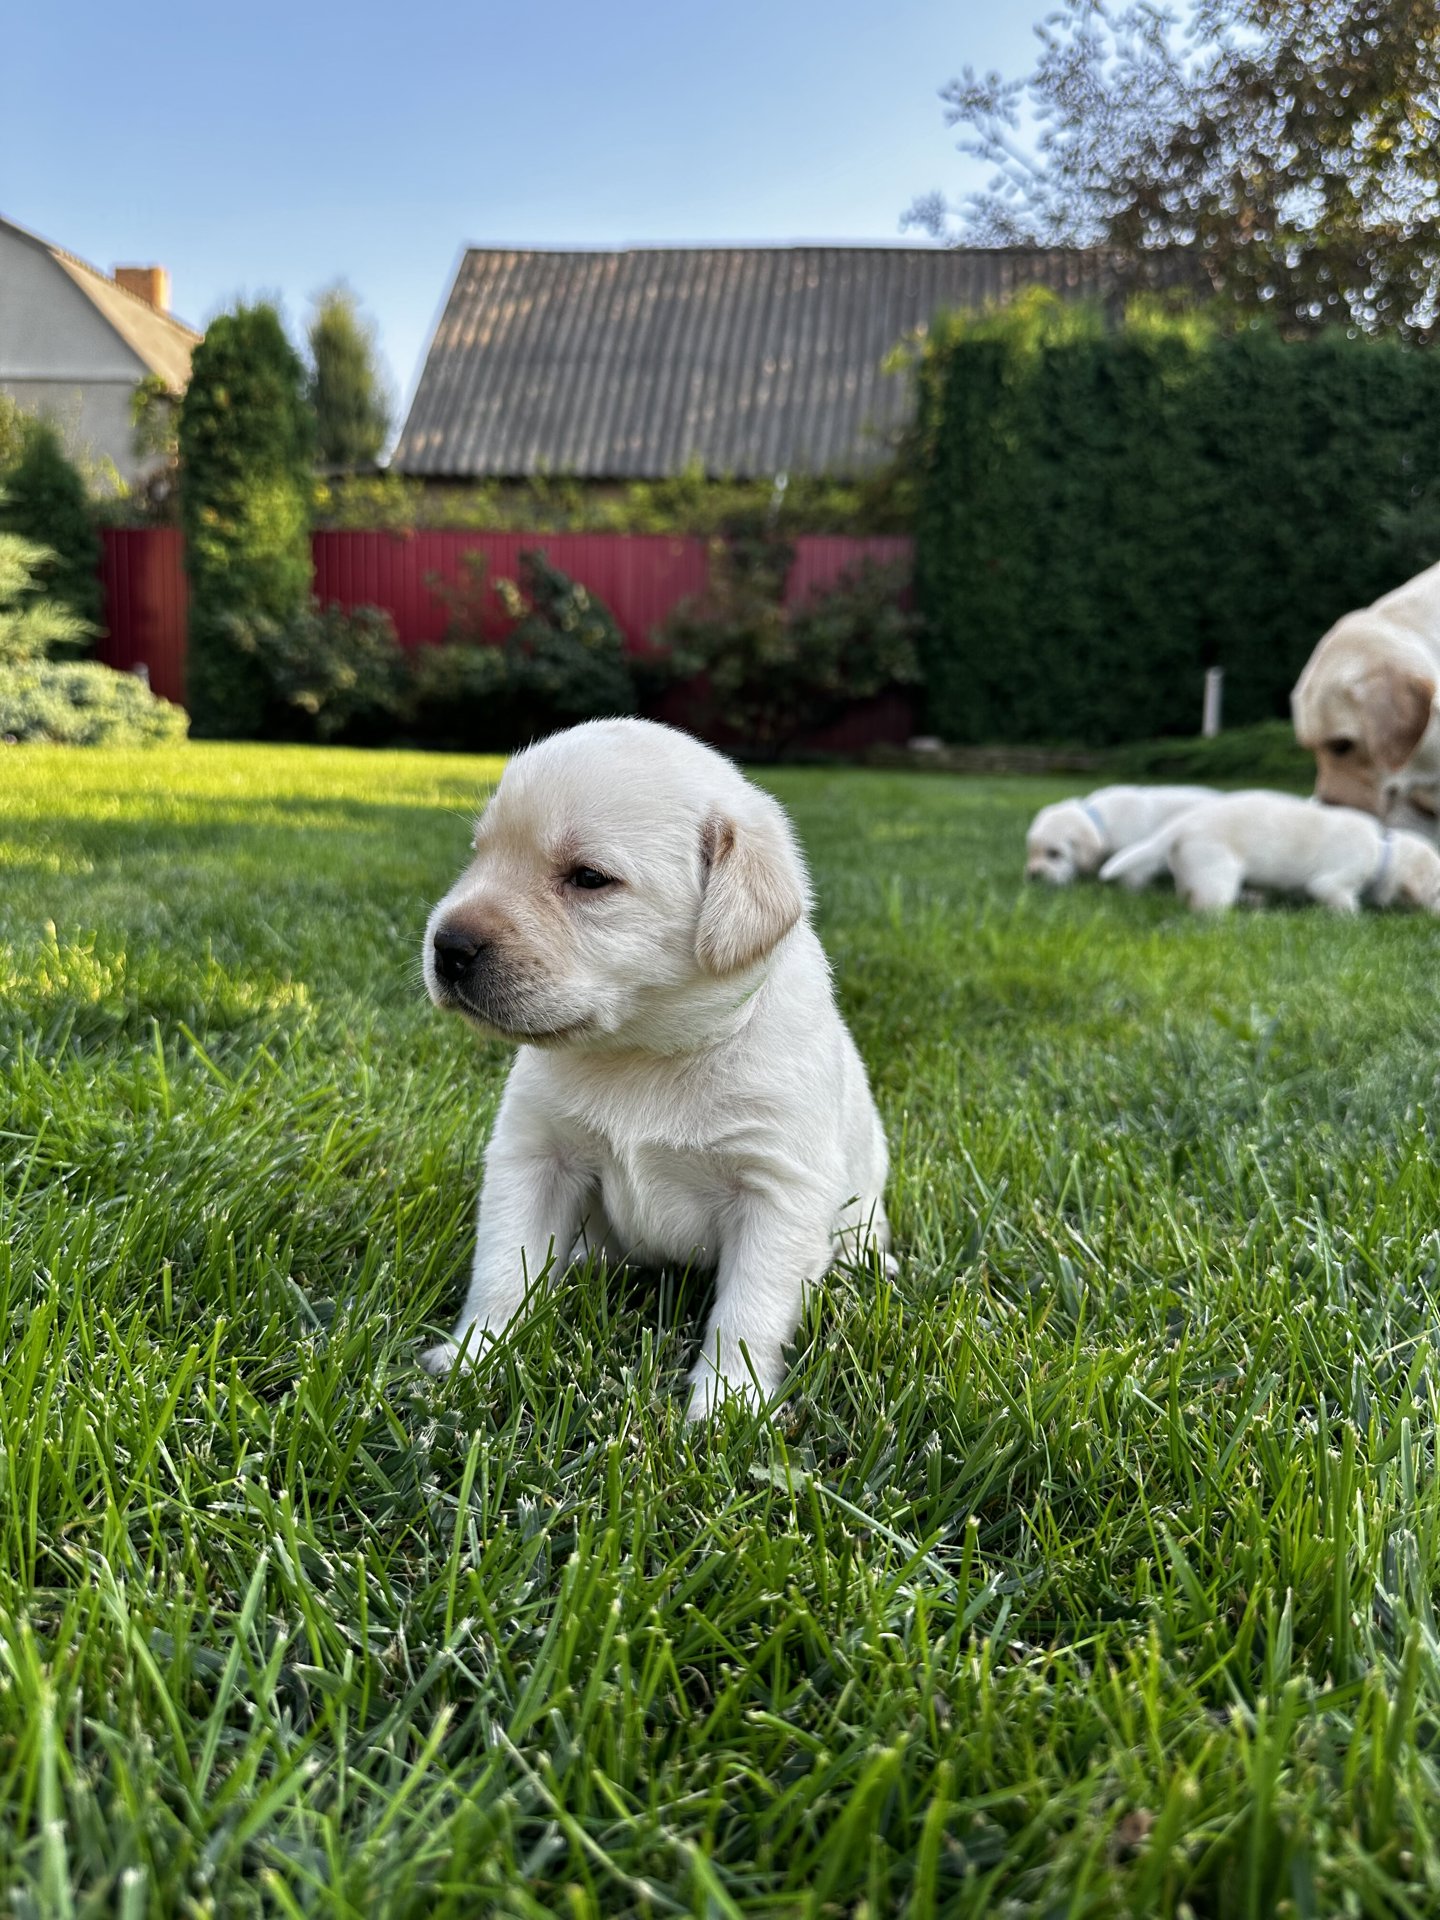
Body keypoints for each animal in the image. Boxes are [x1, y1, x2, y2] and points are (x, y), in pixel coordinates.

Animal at [416, 714, 890, 1420]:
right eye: (480, 853)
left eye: (589, 878)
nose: (447, 947)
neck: (644, 1051)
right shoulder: (535, 1156)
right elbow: (504, 1265)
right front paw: (476, 1354)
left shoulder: (778, 1190)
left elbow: (746, 1315)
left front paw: (725, 1405)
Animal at [1029, 779, 1221, 883]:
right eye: (1031, 852)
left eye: (1054, 853)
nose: (1033, 876)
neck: (1103, 821)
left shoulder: (1138, 863)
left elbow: (1131, 879)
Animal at [1105, 791, 1440, 917]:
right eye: (1437, 892)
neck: (1383, 850)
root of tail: (1182, 824)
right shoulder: (1334, 881)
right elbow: (1342, 901)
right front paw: (1355, 919)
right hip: (1218, 875)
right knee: (1207, 907)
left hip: (1192, 870)